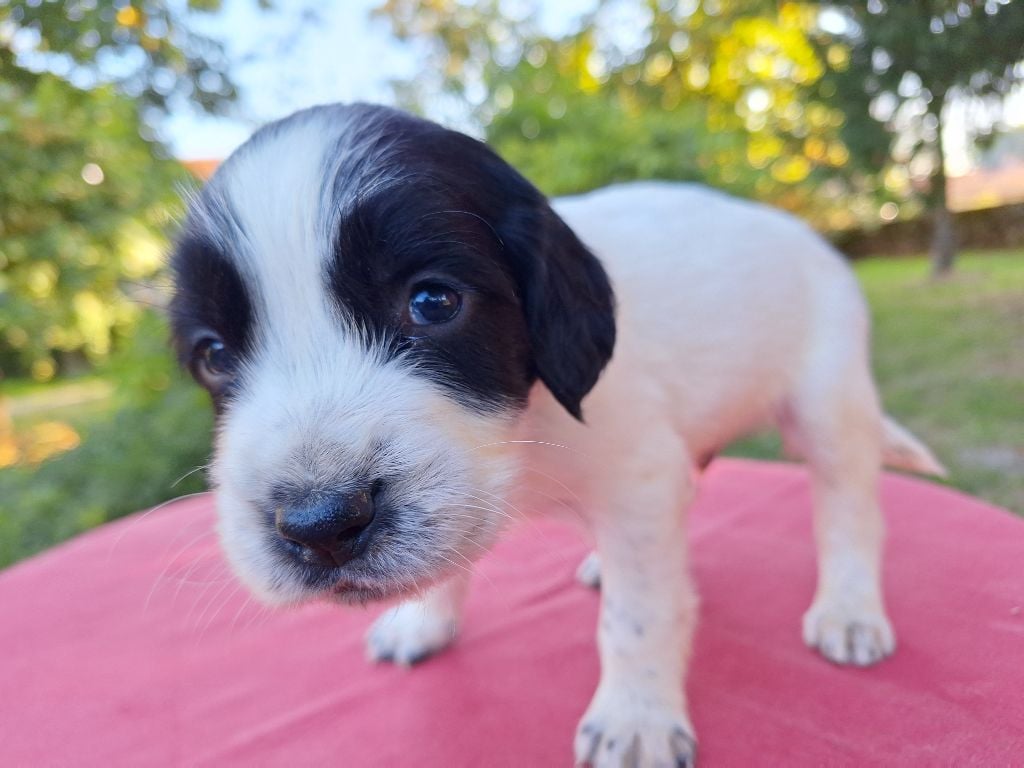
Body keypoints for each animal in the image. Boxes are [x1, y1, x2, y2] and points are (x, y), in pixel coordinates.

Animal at [167, 103, 942, 768]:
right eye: (214, 354)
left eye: (432, 301)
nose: (320, 525)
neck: (526, 429)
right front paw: (424, 619)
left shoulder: (640, 480)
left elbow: (638, 613)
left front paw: (635, 717)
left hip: (828, 400)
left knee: (848, 507)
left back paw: (849, 606)